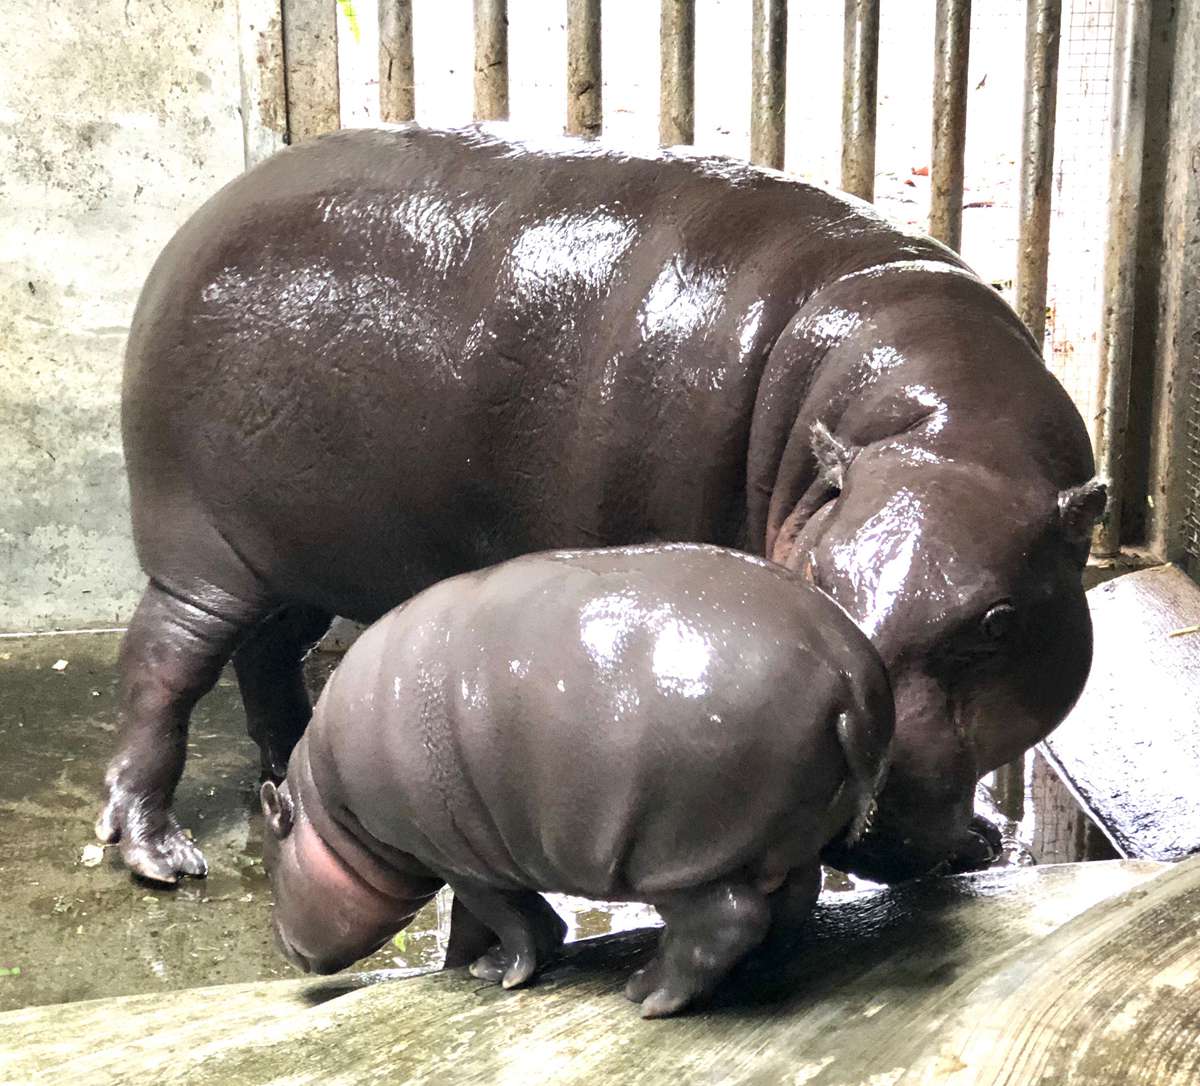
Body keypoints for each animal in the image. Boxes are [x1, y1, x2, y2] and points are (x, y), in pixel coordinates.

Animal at [103, 124, 1104, 883]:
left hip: (301, 552)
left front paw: (978, 843)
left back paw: (287, 762)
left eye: (1001, 622)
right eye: (816, 578)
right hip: (200, 549)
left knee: (267, 652)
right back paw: (157, 854)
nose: (863, 819)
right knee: (163, 666)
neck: (935, 426)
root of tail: (187, 233)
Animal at [260, 542, 892, 1017]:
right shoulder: (468, 856)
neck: (326, 811)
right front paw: (465, 967)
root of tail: (847, 670)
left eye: (272, 861)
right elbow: (478, 922)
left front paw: (501, 975)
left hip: (677, 856)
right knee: (795, 896)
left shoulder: (458, 860)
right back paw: (755, 969)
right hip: (778, 838)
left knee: (728, 919)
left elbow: (511, 920)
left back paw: (647, 995)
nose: (286, 946)